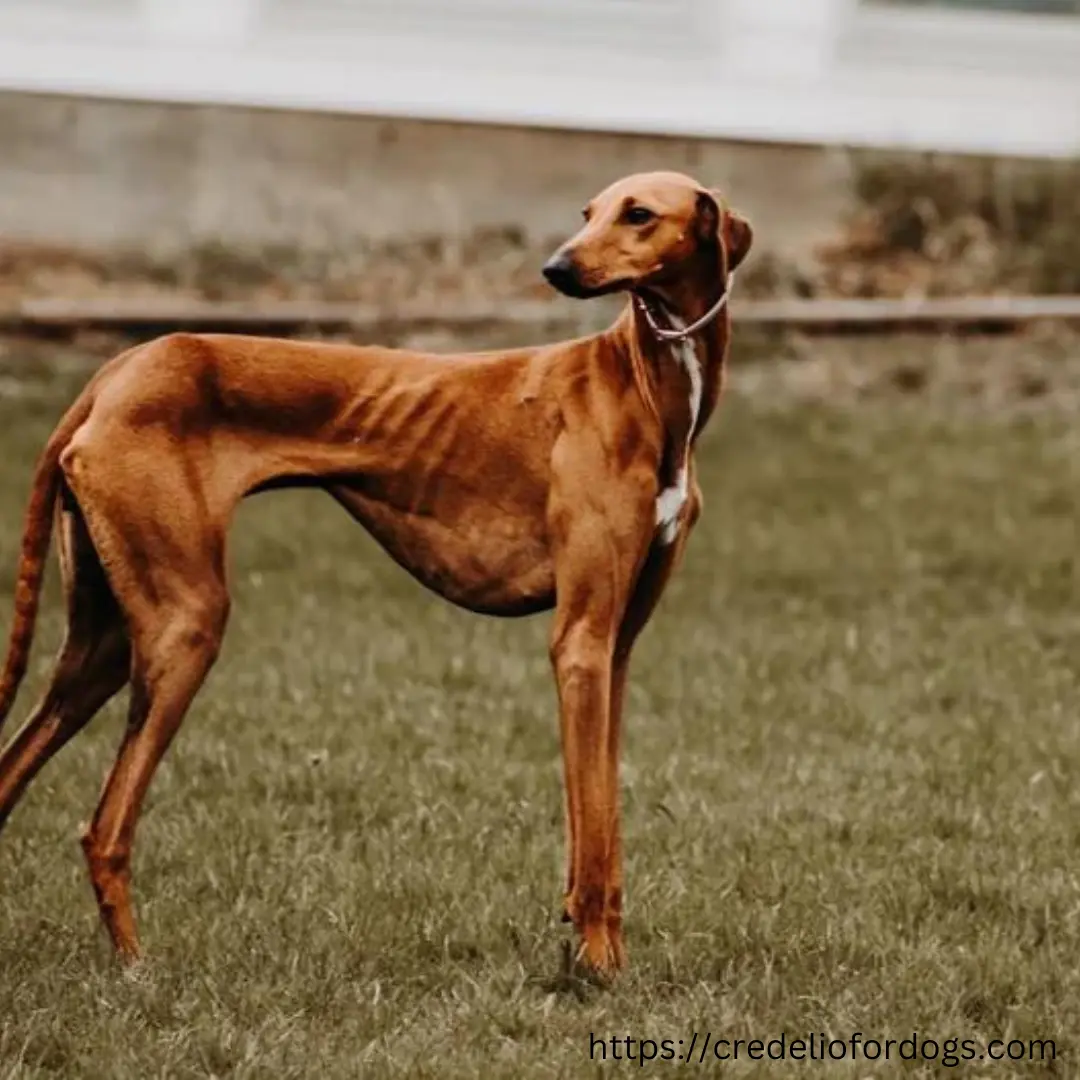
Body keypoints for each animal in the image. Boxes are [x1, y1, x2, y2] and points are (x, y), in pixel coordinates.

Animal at [0, 170, 751, 980]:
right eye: (588, 213)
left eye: (637, 213)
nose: (556, 268)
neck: (645, 387)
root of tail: (117, 369)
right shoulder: (580, 642)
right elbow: (593, 829)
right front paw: (599, 967)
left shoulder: (615, 648)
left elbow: (602, 820)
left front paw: (600, 954)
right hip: (183, 627)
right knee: (106, 828)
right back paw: (138, 968)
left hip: (103, 647)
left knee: (14, 777)